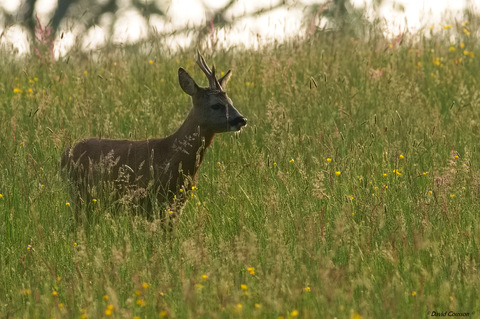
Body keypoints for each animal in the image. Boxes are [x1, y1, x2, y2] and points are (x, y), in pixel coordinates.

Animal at [60, 52, 248, 220]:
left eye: (230, 102)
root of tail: (66, 152)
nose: (241, 119)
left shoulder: (177, 204)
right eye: (216, 105)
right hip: (80, 195)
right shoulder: (153, 201)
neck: (172, 156)